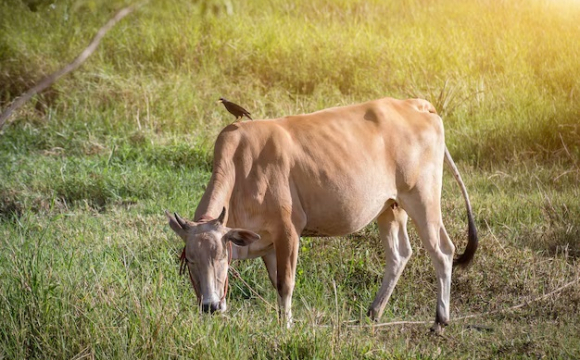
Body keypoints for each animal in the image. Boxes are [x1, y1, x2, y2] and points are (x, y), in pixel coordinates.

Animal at [165, 97, 478, 334]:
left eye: (220, 257)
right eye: (190, 260)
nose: (210, 305)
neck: (241, 170)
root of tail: (416, 103)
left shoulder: (288, 231)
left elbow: (285, 284)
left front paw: (286, 327)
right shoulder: (267, 244)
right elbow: (275, 282)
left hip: (423, 198)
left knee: (442, 250)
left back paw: (439, 321)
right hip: (391, 207)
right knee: (400, 254)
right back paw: (373, 312)